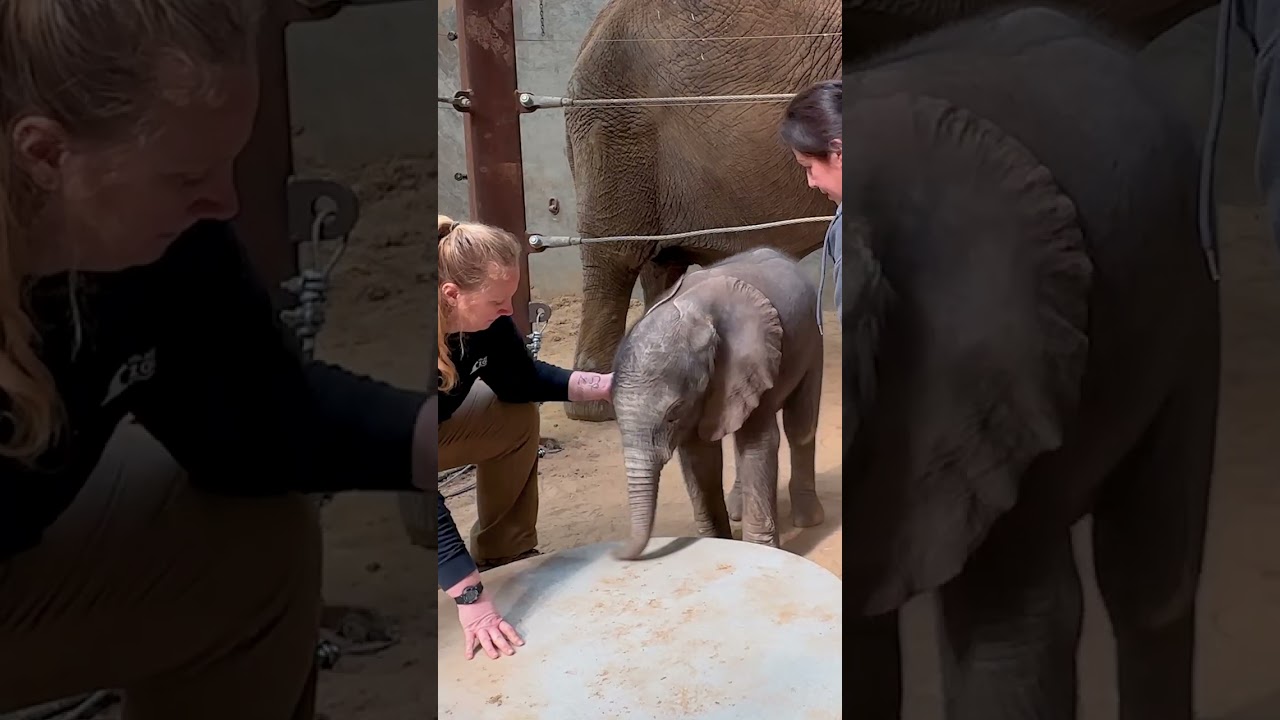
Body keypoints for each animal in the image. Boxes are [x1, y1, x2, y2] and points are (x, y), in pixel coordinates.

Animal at [607, 247, 824, 561]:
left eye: (674, 411)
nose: (615, 553)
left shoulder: (753, 364)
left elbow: (758, 444)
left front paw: (758, 551)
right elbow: (699, 456)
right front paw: (718, 543)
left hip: (813, 340)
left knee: (800, 426)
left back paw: (808, 520)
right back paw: (737, 510)